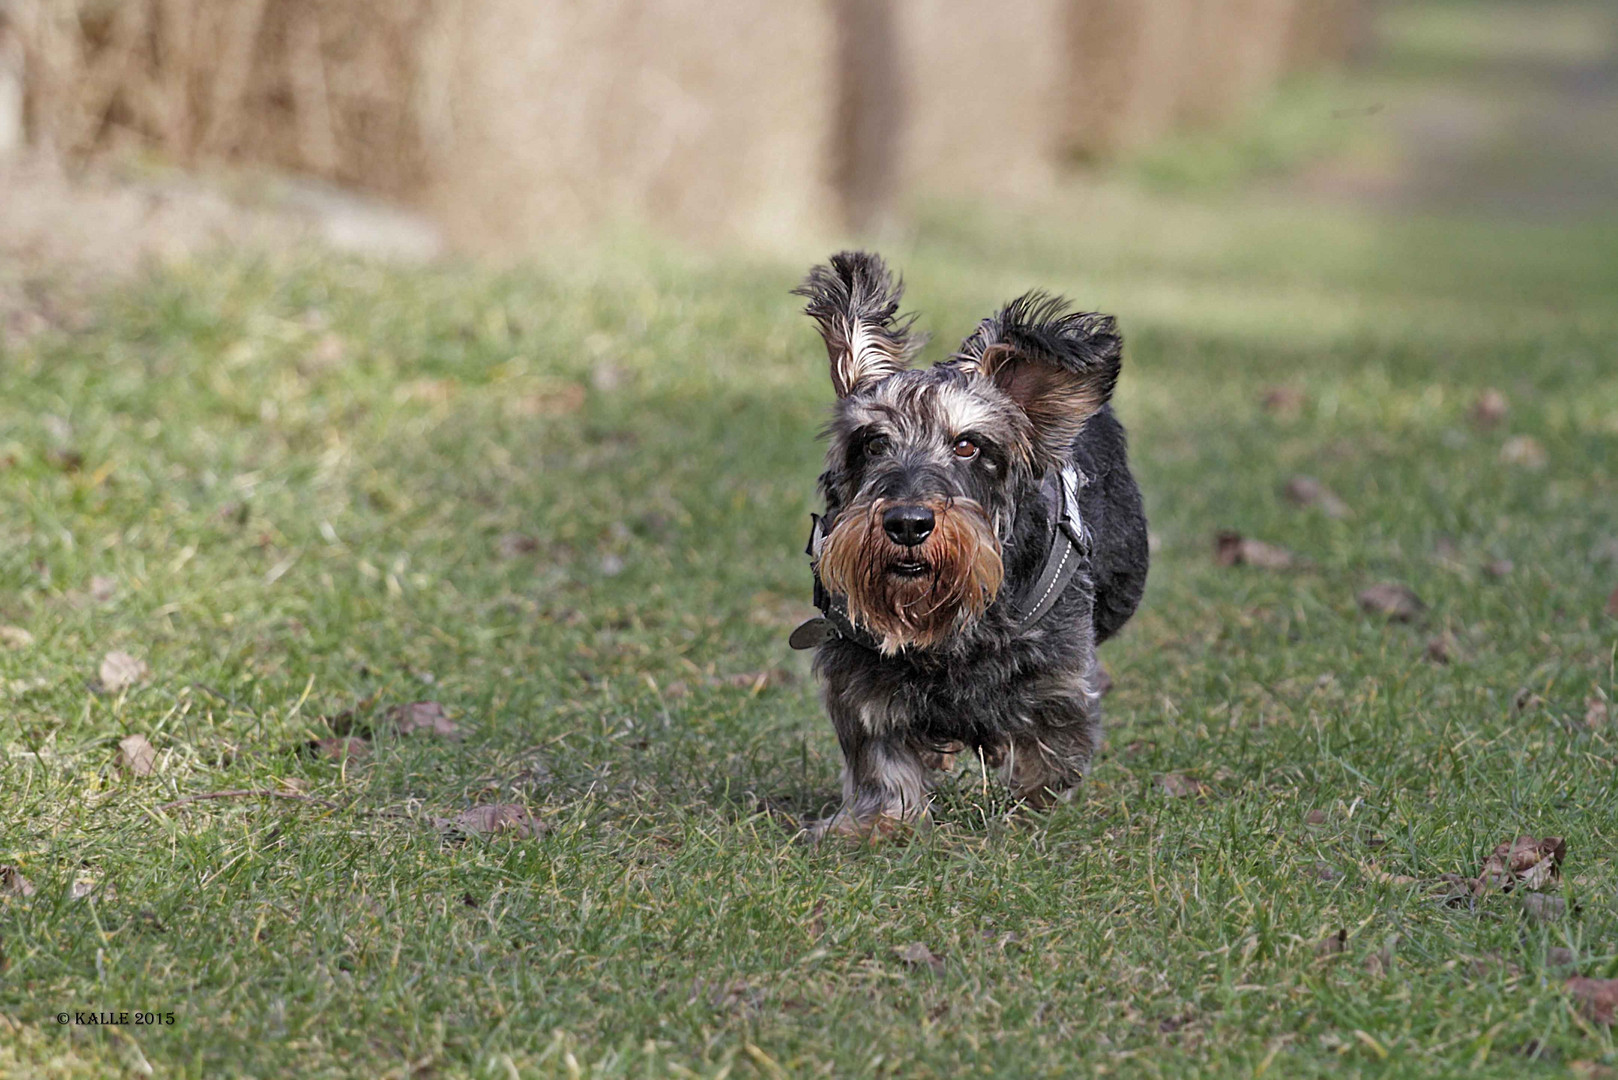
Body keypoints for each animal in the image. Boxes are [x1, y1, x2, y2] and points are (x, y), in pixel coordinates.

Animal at [786, 255, 1152, 841]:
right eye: (872, 443)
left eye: (967, 445)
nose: (907, 523)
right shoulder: (860, 679)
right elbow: (882, 761)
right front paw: (875, 824)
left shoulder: (1059, 677)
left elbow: (1049, 748)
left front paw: (1030, 809)